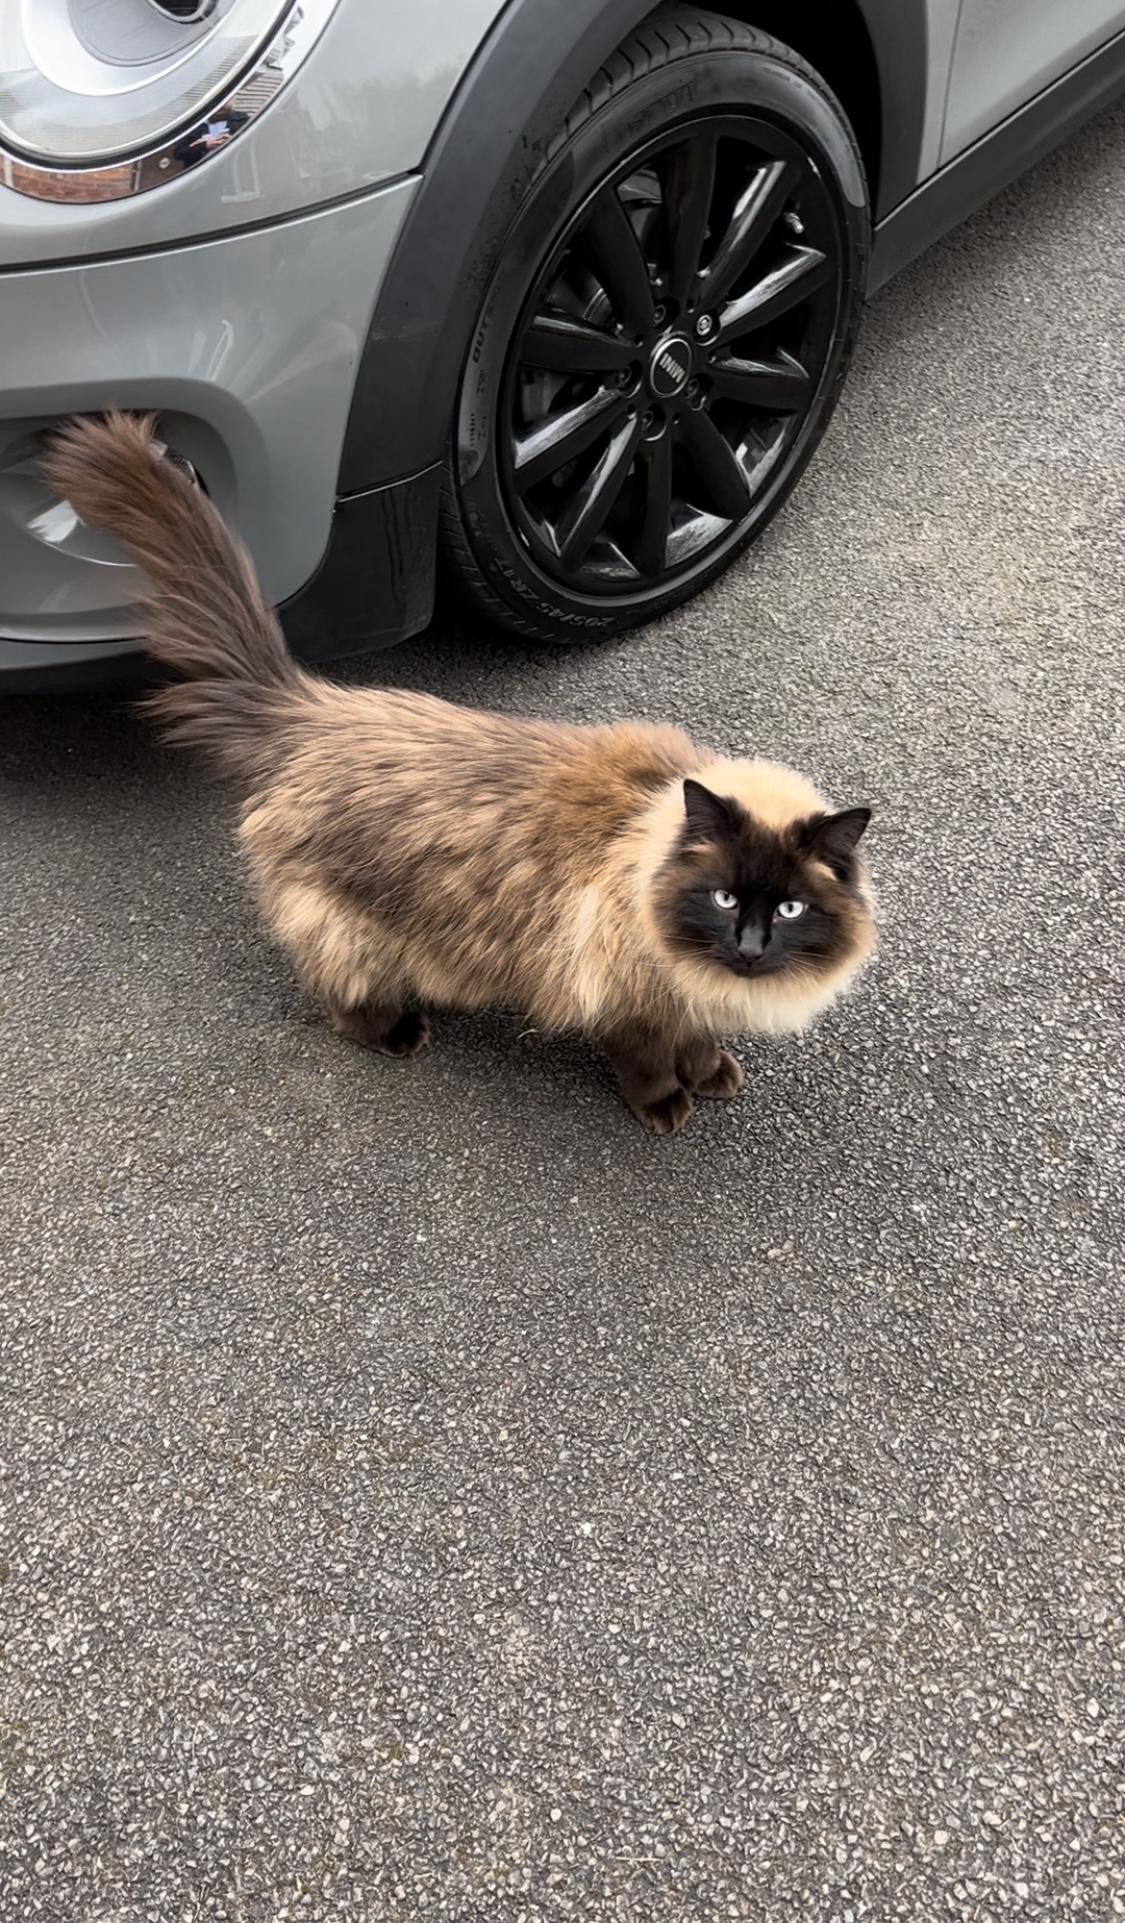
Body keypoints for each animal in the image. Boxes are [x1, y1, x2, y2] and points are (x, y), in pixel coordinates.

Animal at [43, 412, 875, 1136]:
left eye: (790, 909)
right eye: (724, 896)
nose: (749, 945)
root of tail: (314, 708)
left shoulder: (690, 995)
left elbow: (697, 1042)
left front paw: (712, 1075)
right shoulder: (628, 997)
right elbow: (646, 1060)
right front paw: (668, 1107)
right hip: (350, 932)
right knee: (342, 996)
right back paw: (399, 1033)